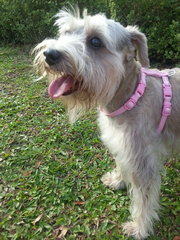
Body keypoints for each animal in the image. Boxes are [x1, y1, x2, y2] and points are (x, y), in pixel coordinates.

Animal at [32, 7, 180, 240]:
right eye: (66, 32)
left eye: (95, 41)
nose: (51, 54)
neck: (131, 95)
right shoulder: (122, 144)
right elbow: (121, 164)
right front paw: (118, 180)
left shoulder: (142, 161)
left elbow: (143, 200)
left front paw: (139, 227)